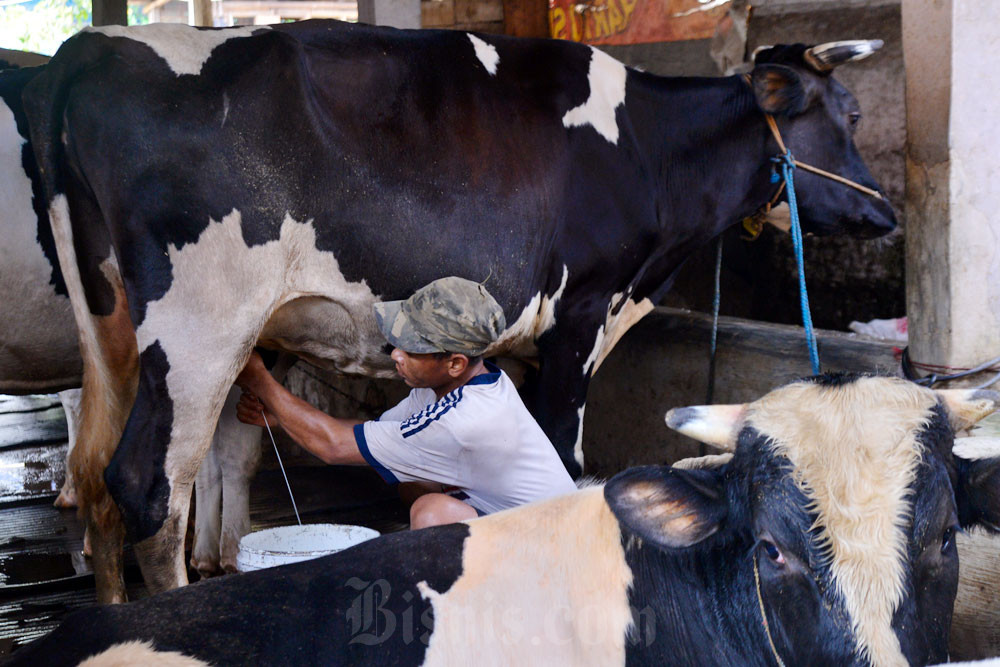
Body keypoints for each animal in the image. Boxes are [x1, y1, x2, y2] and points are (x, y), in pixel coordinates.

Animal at [21, 23, 900, 600]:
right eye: (850, 116)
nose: (886, 214)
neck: (649, 151)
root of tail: (87, 48)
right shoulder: (581, 312)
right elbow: (563, 457)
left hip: (115, 331)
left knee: (98, 476)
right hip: (199, 328)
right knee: (147, 484)